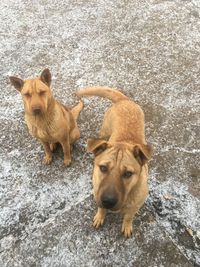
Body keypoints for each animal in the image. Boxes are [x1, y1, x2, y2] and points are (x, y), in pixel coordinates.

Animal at [76, 87, 153, 239]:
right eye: (103, 168)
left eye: (128, 173)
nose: (108, 201)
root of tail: (123, 100)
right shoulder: (98, 192)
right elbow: (100, 208)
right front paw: (100, 216)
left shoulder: (135, 206)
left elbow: (129, 216)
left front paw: (127, 225)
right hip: (105, 131)